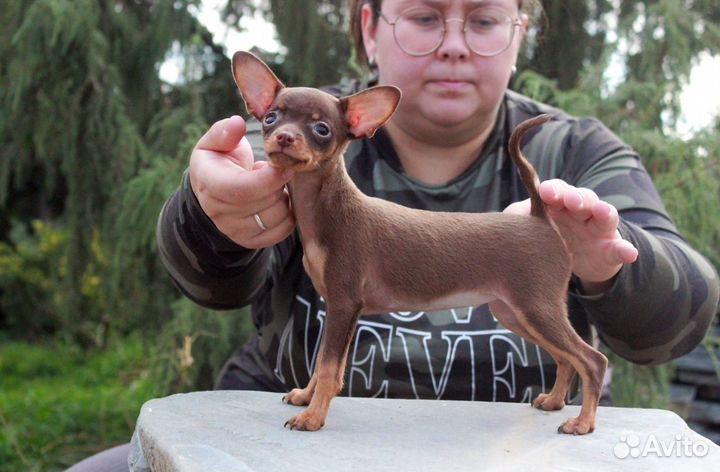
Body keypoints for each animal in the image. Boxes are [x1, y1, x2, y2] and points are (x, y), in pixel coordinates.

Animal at [231, 50, 608, 436]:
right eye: (271, 118)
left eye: (321, 129)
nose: (284, 137)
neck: (326, 209)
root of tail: (538, 216)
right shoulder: (342, 310)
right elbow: (325, 363)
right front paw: (307, 398)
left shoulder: (343, 304)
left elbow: (328, 366)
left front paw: (312, 417)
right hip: (515, 313)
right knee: (566, 358)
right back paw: (554, 401)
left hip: (536, 308)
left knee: (592, 360)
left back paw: (582, 423)